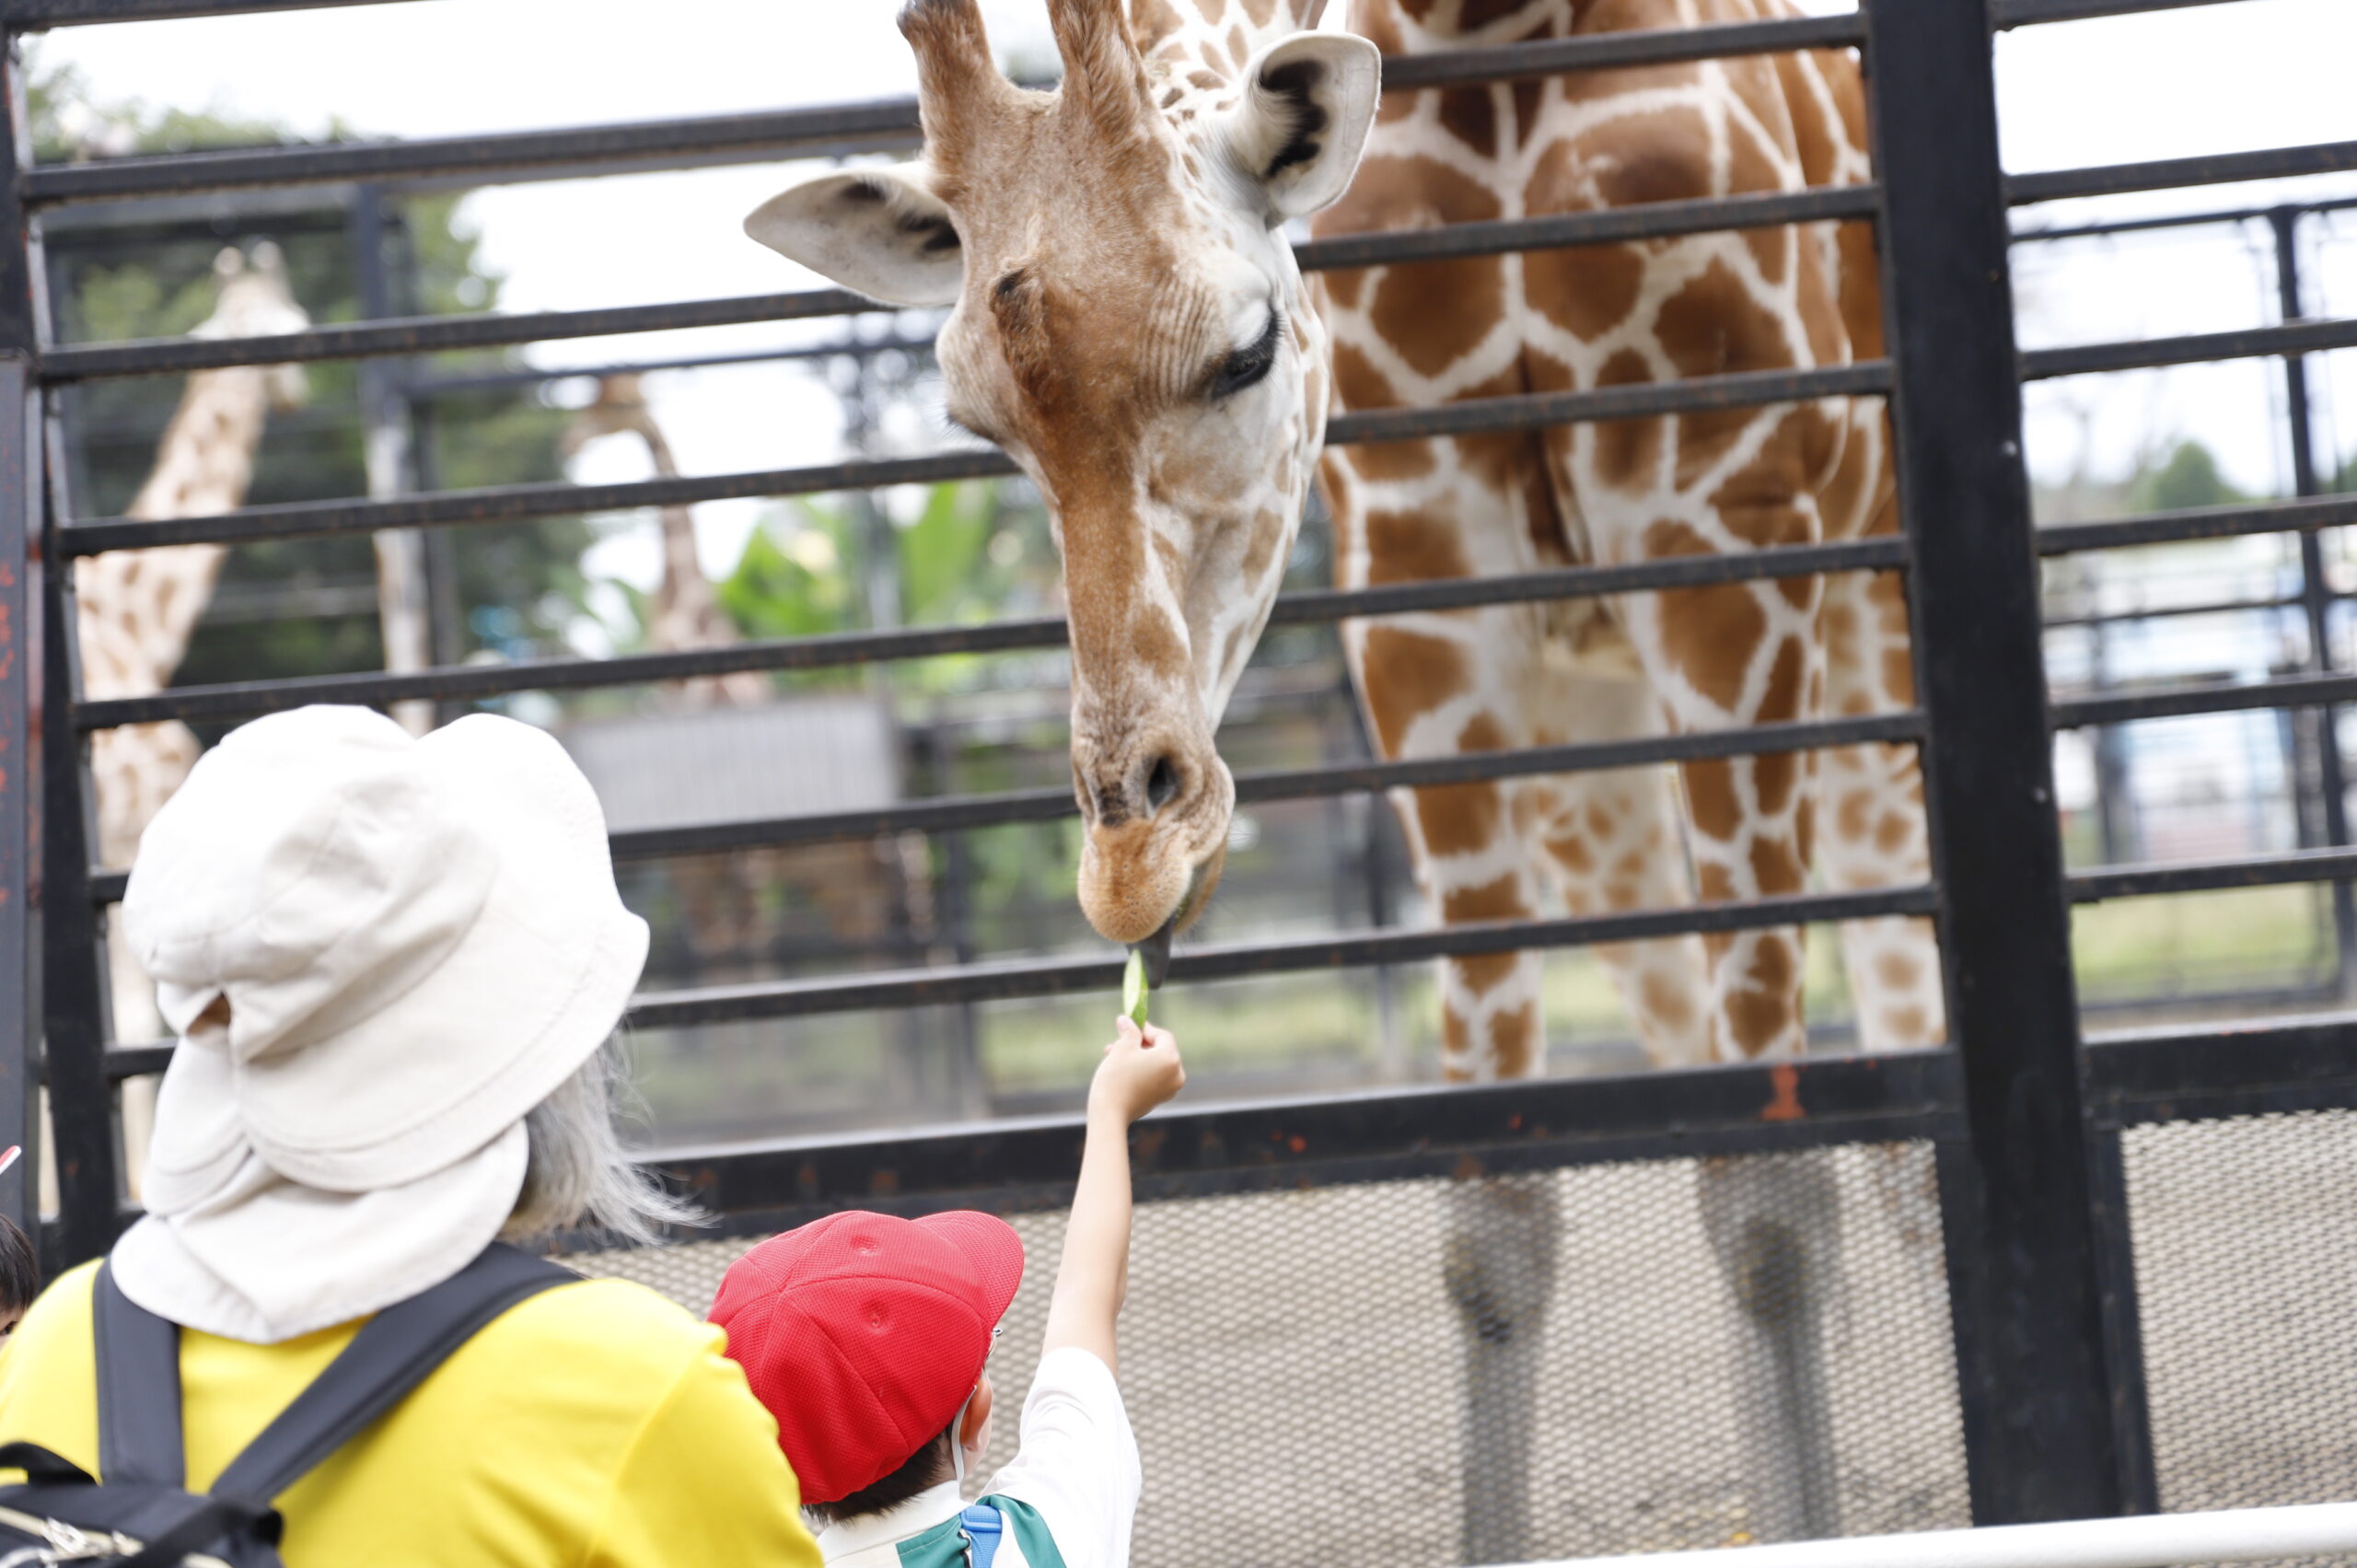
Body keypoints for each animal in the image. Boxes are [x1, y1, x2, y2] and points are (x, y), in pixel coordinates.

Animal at [754, 0, 1951, 1537]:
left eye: (1249, 349)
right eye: (979, 421)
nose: (1132, 856)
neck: (1490, 34)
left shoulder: (1720, 533)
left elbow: (1770, 1193)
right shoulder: (1429, 595)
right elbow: (1500, 1214)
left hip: (1859, 634)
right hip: (1592, 735)